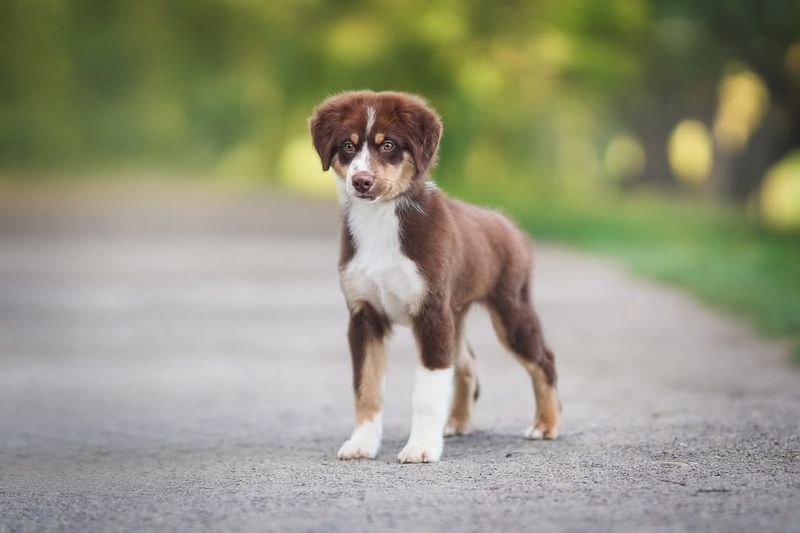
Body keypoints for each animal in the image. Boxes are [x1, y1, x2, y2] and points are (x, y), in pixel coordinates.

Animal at [310, 90, 560, 462]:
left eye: (388, 145)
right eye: (348, 146)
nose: (361, 181)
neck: (381, 220)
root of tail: (507, 223)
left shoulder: (430, 312)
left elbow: (427, 391)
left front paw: (421, 448)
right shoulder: (364, 315)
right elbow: (366, 385)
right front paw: (362, 443)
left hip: (511, 310)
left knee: (543, 359)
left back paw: (546, 425)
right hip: (456, 314)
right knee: (467, 363)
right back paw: (457, 422)